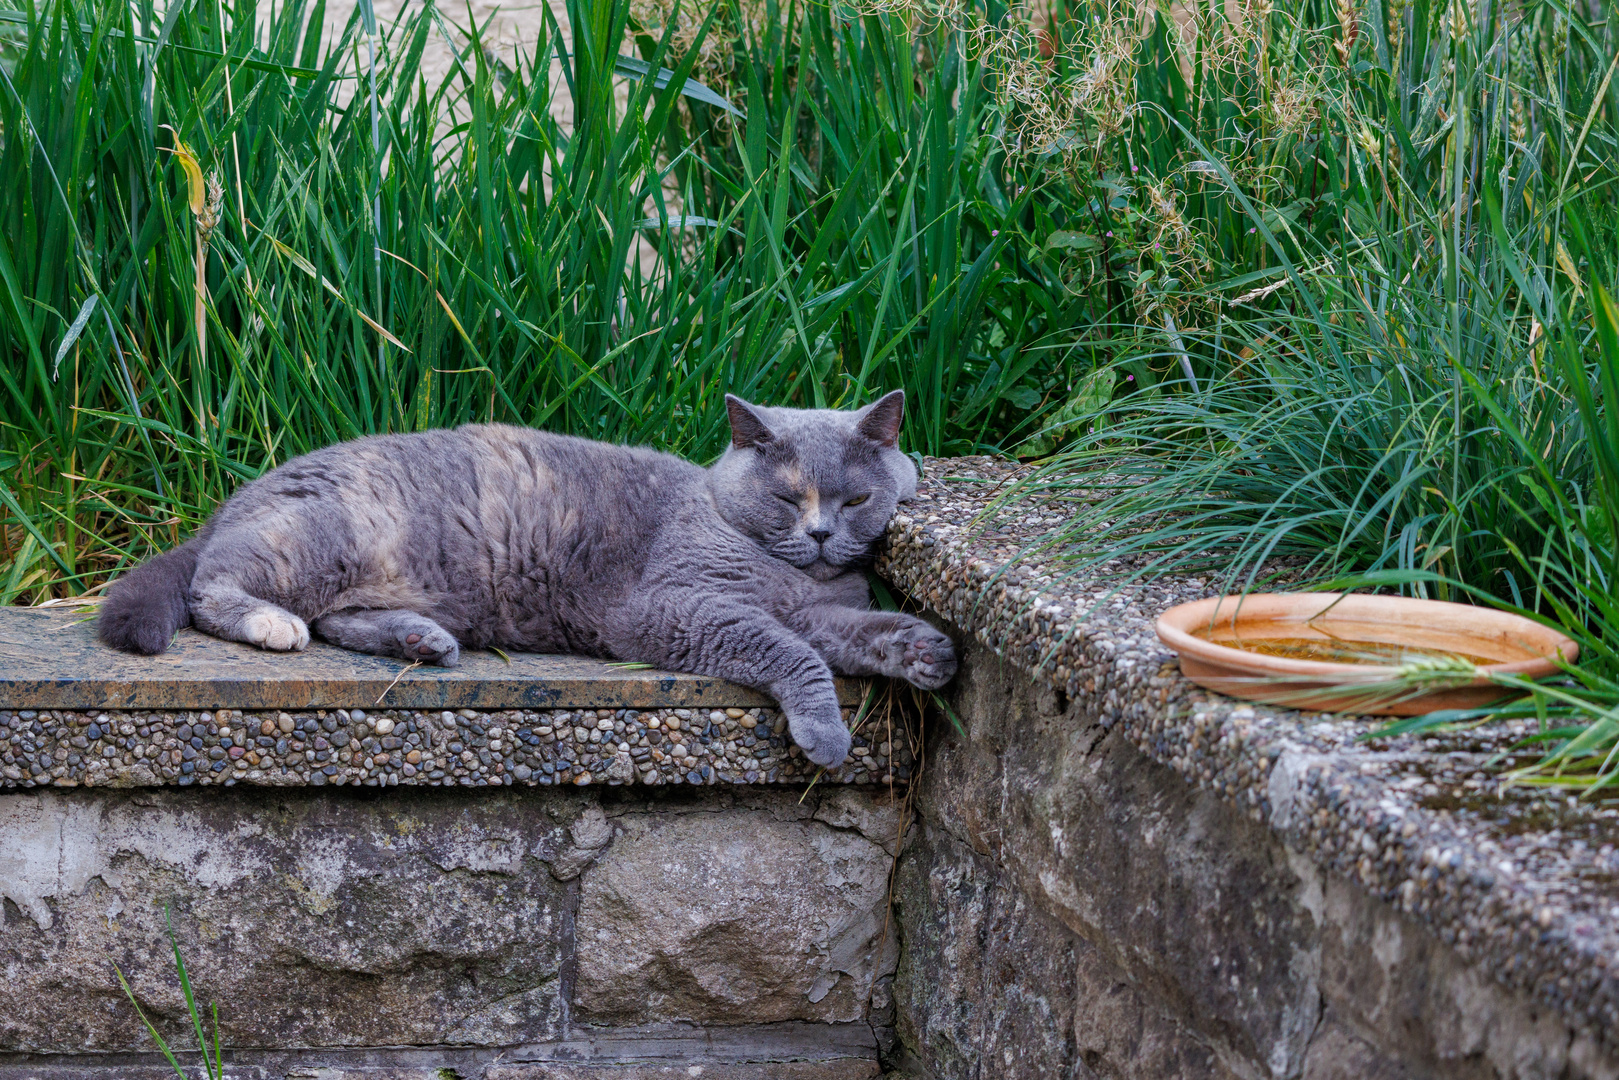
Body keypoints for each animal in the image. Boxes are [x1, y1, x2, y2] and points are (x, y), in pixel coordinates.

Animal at [97, 393, 958, 773]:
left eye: (855, 500)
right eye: (786, 497)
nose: (820, 534)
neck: (788, 576)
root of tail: (240, 493)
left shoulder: (826, 612)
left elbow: (857, 634)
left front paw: (926, 652)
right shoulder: (670, 607)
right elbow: (788, 651)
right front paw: (826, 736)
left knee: (346, 619)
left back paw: (423, 640)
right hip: (314, 541)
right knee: (215, 586)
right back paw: (275, 625)